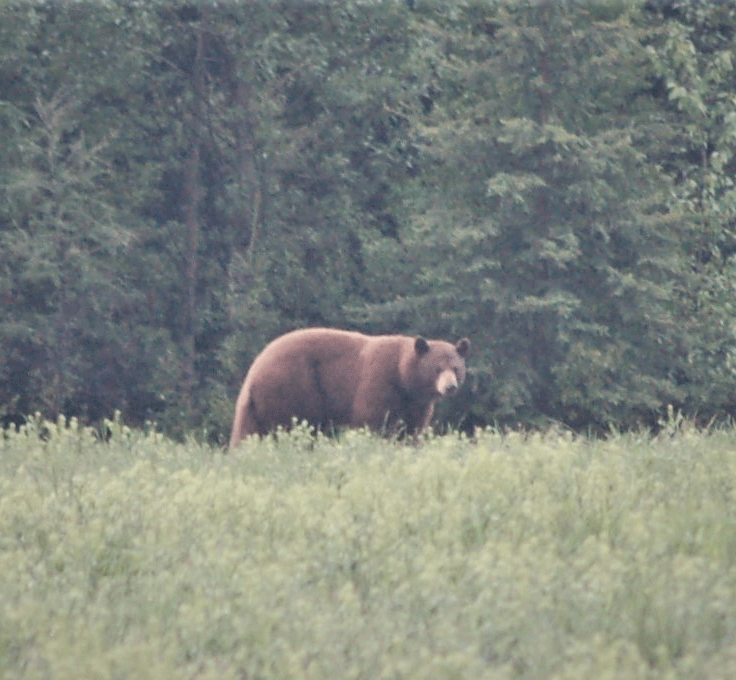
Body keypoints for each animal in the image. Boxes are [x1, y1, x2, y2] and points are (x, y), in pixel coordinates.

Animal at [229, 328, 472, 446]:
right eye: (437, 368)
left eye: (456, 367)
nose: (450, 386)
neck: (404, 378)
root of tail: (254, 372)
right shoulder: (379, 382)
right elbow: (371, 419)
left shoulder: (416, 404)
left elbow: (412, 429)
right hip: (292, 387)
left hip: (257, 405)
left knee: (246, 431)